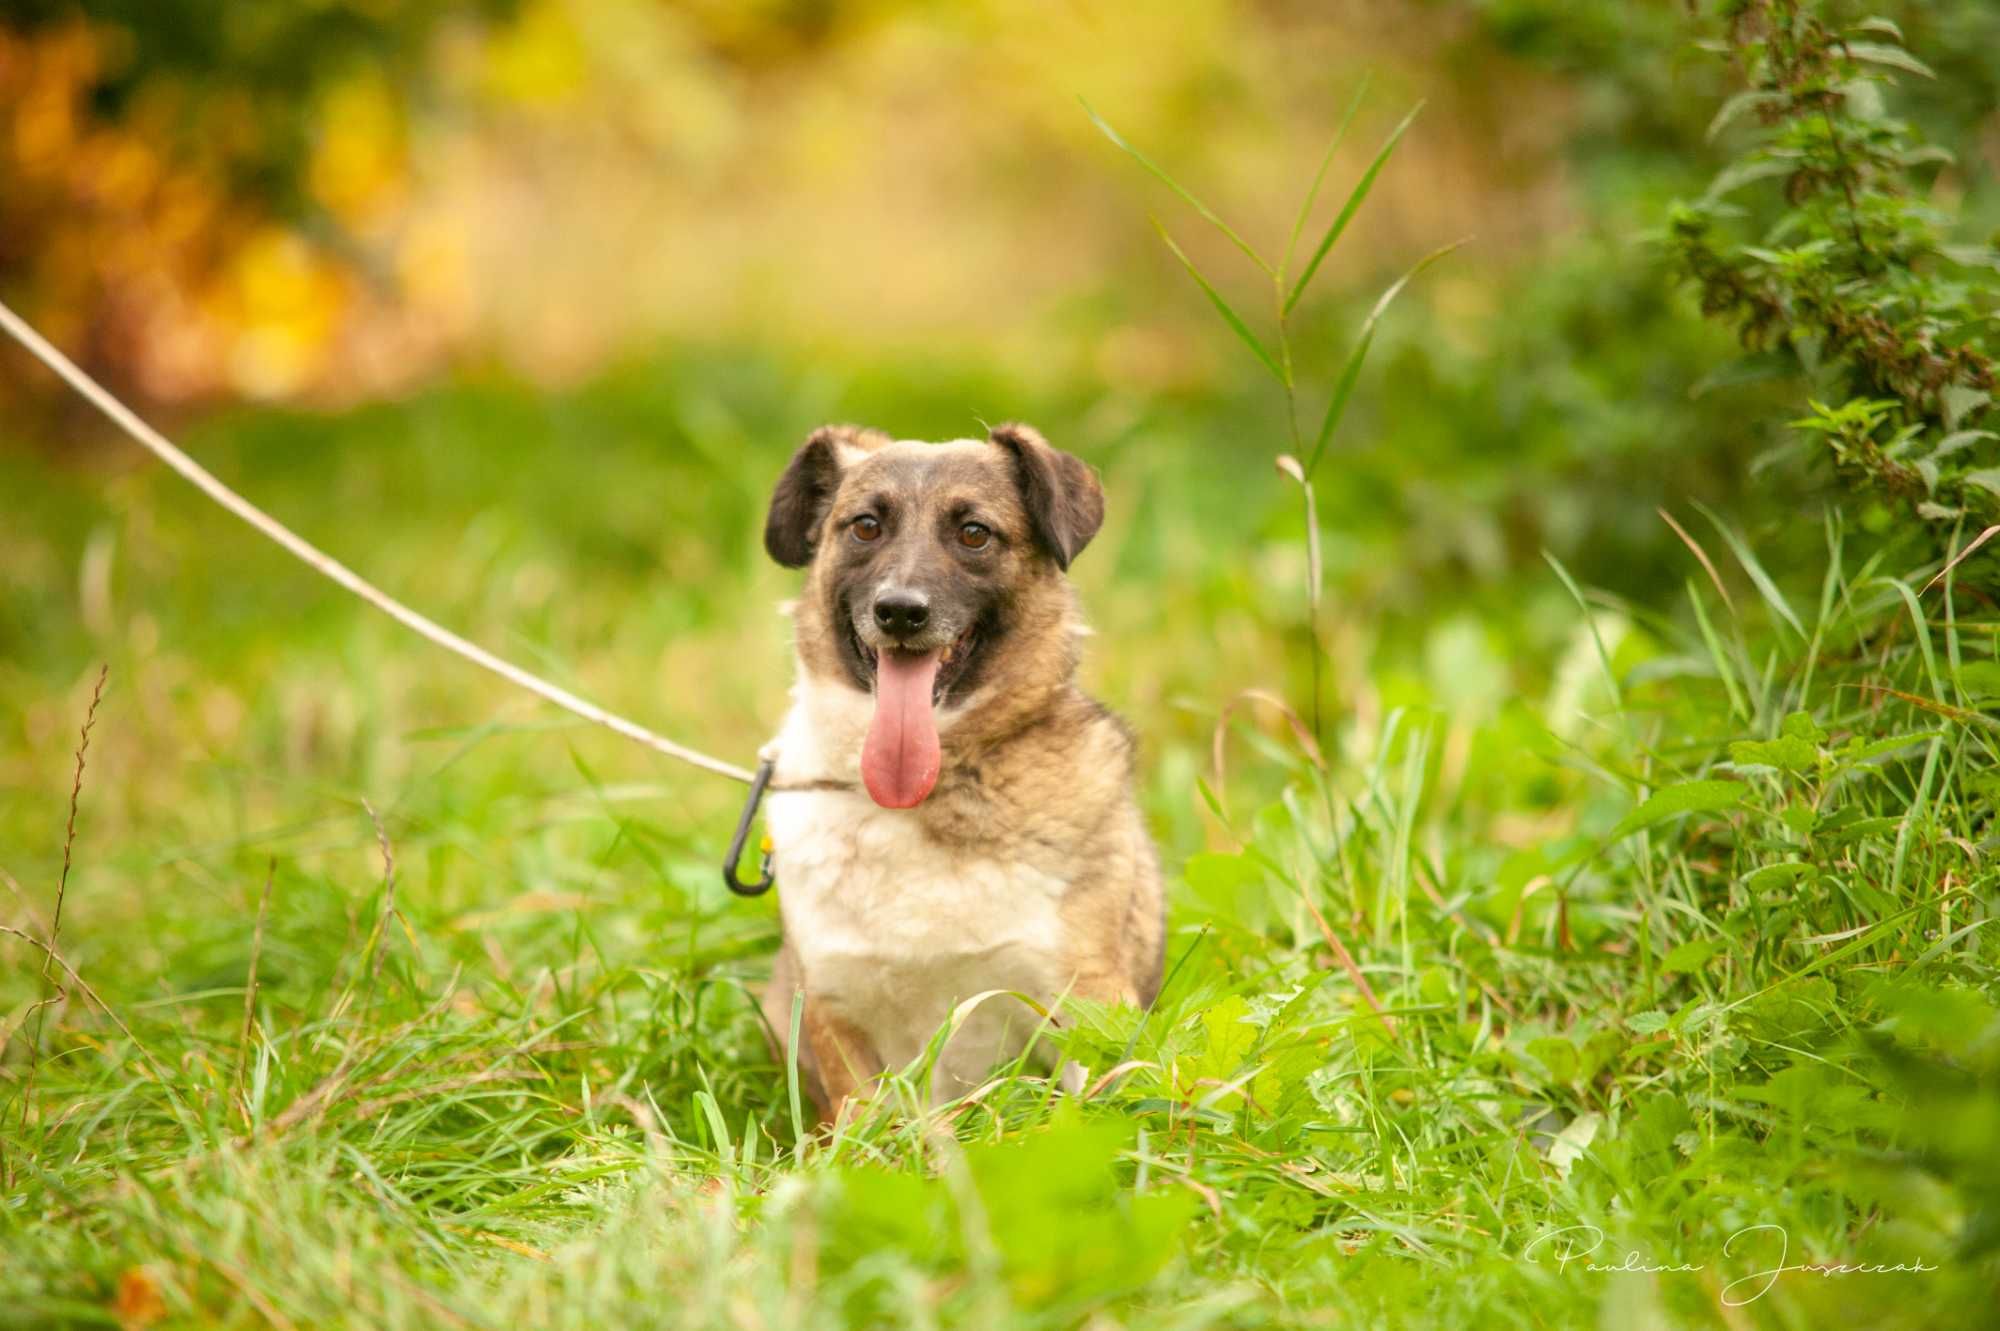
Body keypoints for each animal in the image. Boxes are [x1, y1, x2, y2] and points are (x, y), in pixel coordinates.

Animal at [752, 421, 1168, 1111]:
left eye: (974, 532)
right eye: (865, 526)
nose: (900, 611)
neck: (923, 794)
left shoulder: (1087, 999)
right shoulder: (839, 1015)